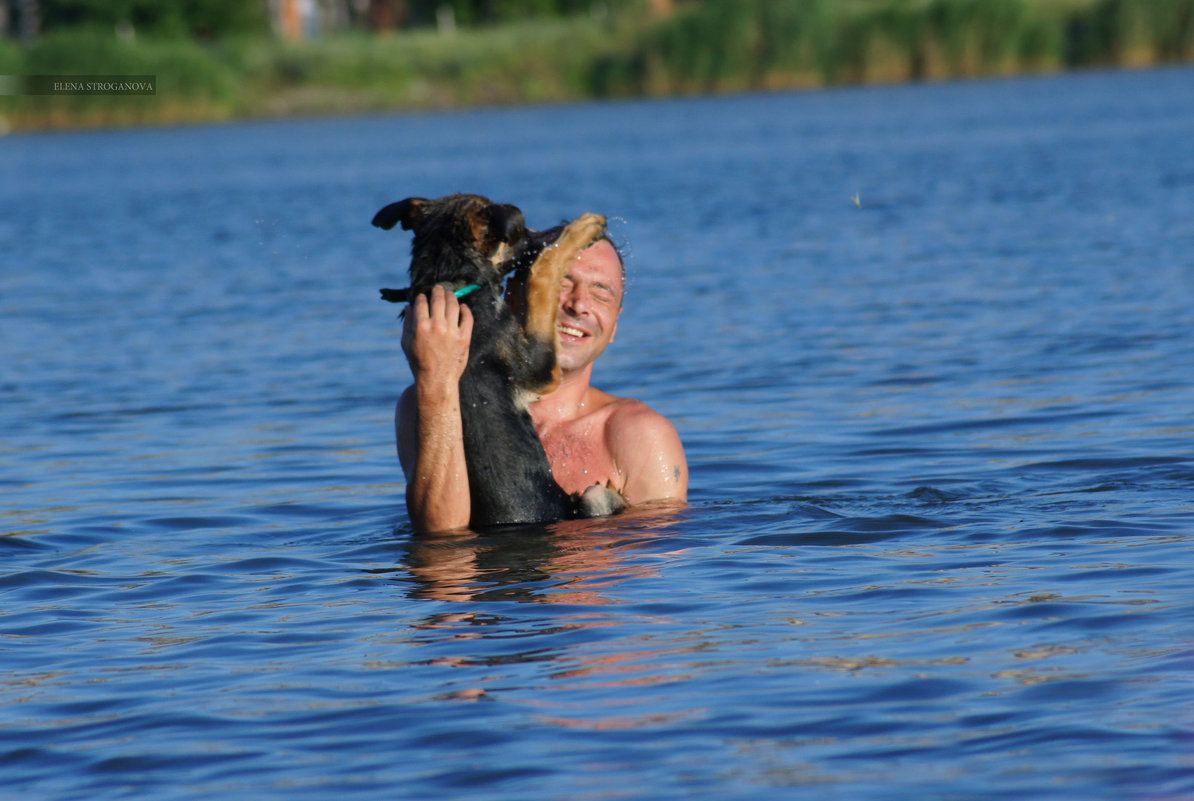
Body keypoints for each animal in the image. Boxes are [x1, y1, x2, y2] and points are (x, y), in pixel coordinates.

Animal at [374, 194, 625, 530]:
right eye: (522, 231)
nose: (549, 233)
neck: (452, 281)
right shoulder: (541, 367)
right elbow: (543, 275)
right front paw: (580, 230)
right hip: (592, 497)